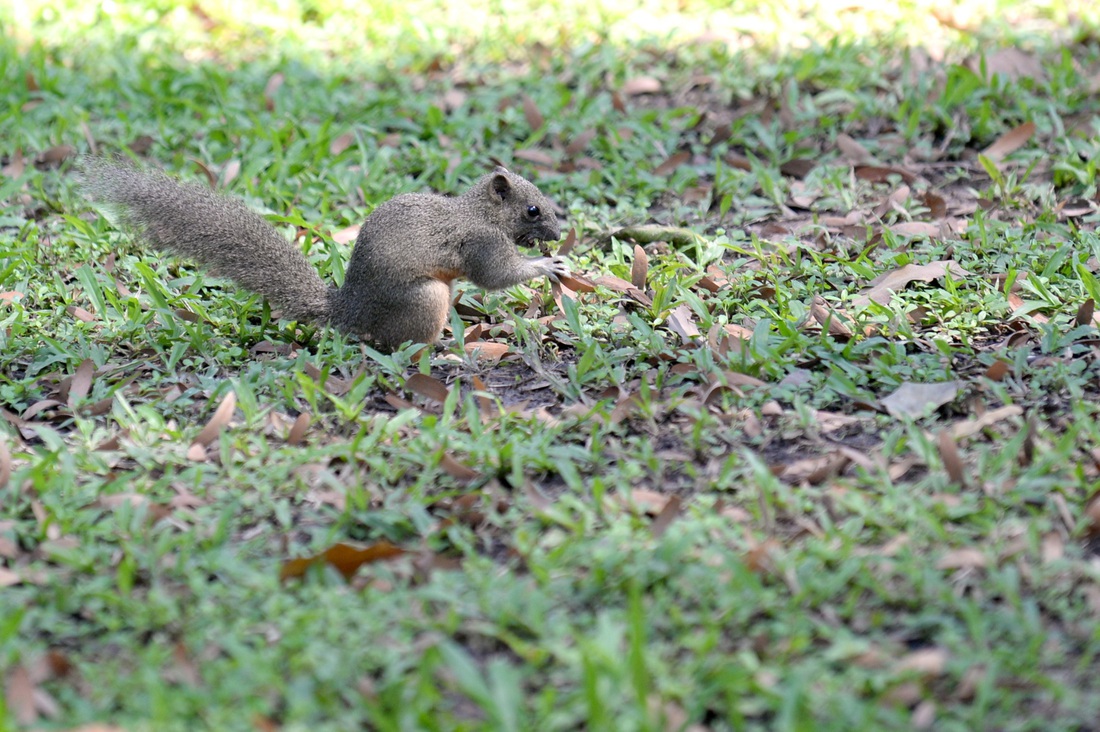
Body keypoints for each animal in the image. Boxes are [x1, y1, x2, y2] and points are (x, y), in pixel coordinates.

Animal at [81, 156, 572, 347]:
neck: (481, 213)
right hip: (425, 299)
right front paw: (545, 263)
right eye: (532, 210)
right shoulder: (482, 243)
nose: (556, 231)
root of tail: (350, 310)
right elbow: (496, 276)